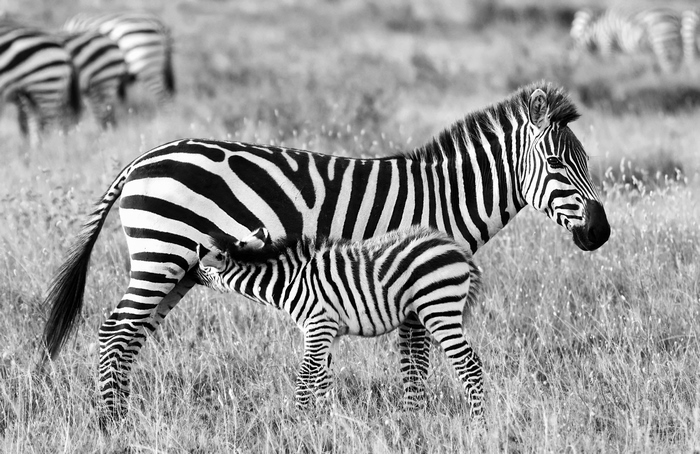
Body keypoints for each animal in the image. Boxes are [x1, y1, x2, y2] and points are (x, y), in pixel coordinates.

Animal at [195, 226, 483, 414]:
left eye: (202, 268)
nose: (191, 276)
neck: (289, 282)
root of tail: (456, 248)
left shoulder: (317, 325)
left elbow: (306, 375)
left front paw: (298, 421)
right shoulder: (329, 331)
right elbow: (323, 378)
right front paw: (323, 420)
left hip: (438, 308)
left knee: (470, 365)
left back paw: (478, 421)